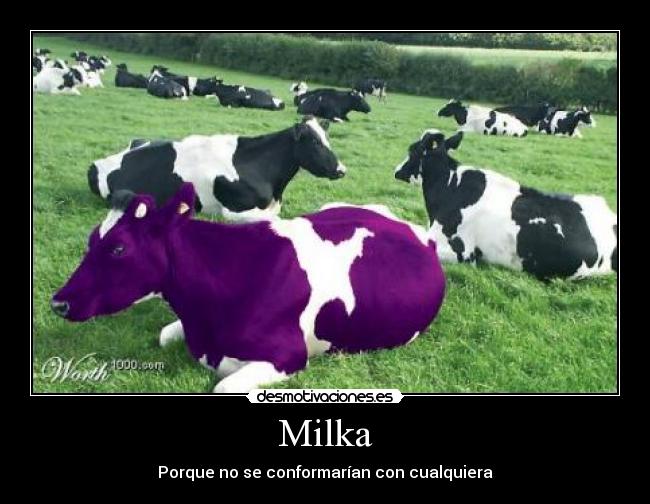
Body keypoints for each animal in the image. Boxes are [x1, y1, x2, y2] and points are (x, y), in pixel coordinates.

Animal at [51, 182, 446, 393]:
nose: (58, 303)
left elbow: (224, 386)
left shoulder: (289, 356)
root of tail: (406, 225)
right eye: (92, 239)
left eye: (118, 248)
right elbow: (164, 335)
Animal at [87, 116, 346, 222]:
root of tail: (98, 163)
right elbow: (275, 218)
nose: (342, 170)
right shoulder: (231, 211)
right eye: (315, 142)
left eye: (327, 138)